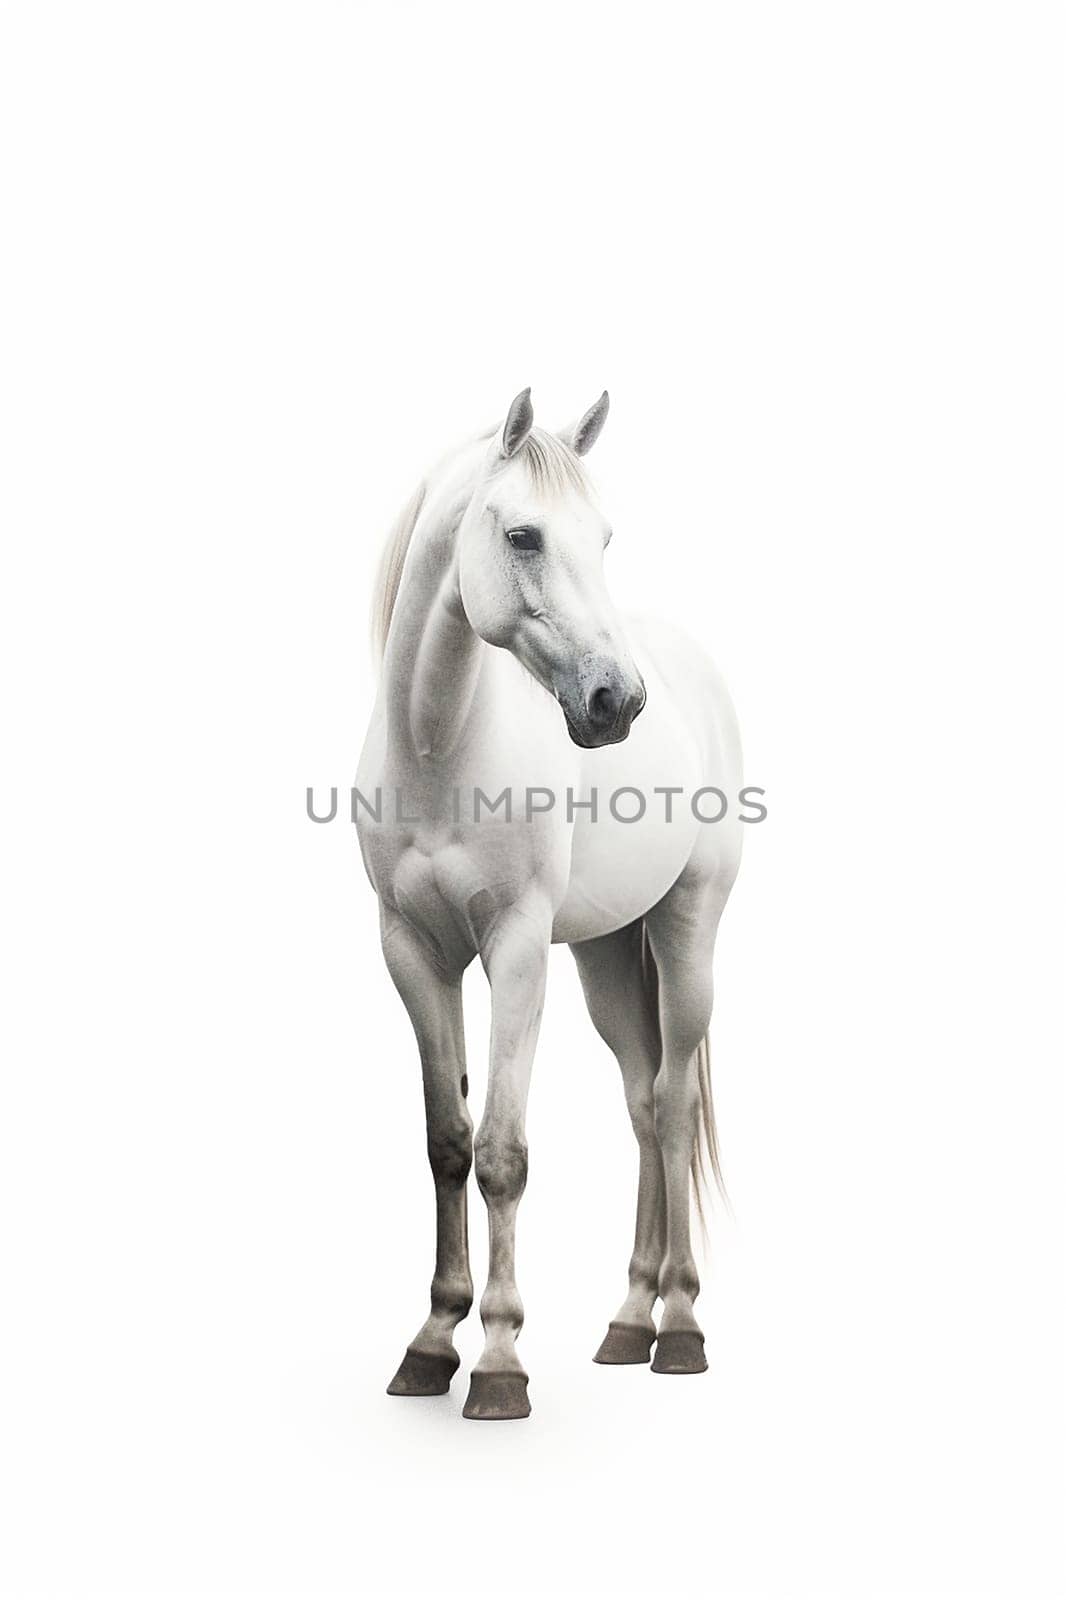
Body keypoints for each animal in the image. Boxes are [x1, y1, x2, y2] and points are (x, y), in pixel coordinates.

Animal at [355, 393, 739, 1420]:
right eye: (523, 535)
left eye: (603, 538)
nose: (617, 702)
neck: (441, 752)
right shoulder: (413, 952)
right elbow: (447, 1142)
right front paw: (431, 1343)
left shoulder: (517, 951)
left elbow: (503, 1153)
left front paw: (497, 1362)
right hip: (605, 956)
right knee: (641, 1102)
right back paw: (628, 1322)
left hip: (686, 933)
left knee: (674, 1103)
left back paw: (680, 1329)